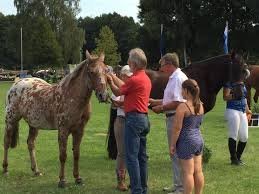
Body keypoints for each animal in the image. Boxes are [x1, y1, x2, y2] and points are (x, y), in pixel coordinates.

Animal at [2, 50, 109, 187]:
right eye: (91, 72)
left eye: (106, 70)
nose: (103, 95)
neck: (71, 96)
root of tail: (16, 84)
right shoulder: (63, 130)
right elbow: (63, 155)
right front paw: (62, 180)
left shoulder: (79, 131)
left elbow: (76, 154)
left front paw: (78, 178)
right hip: (11, 120)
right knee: (6, 142)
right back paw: (5, 169)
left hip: (34, 124)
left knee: (30, 143)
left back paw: (36, 170)